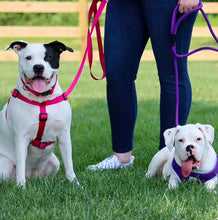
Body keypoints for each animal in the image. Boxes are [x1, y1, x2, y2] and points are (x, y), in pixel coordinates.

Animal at [0, 40, 78, 187]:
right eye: (28, 58)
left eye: (48, 58)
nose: (38, 67)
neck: (42, 100)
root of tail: (31, 175)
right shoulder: (21, 138)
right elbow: (20, 166)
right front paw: (21, 188)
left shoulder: (64, 136)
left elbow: (69, 165)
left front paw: (75, 184)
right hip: (4, 165)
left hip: (55, 162)